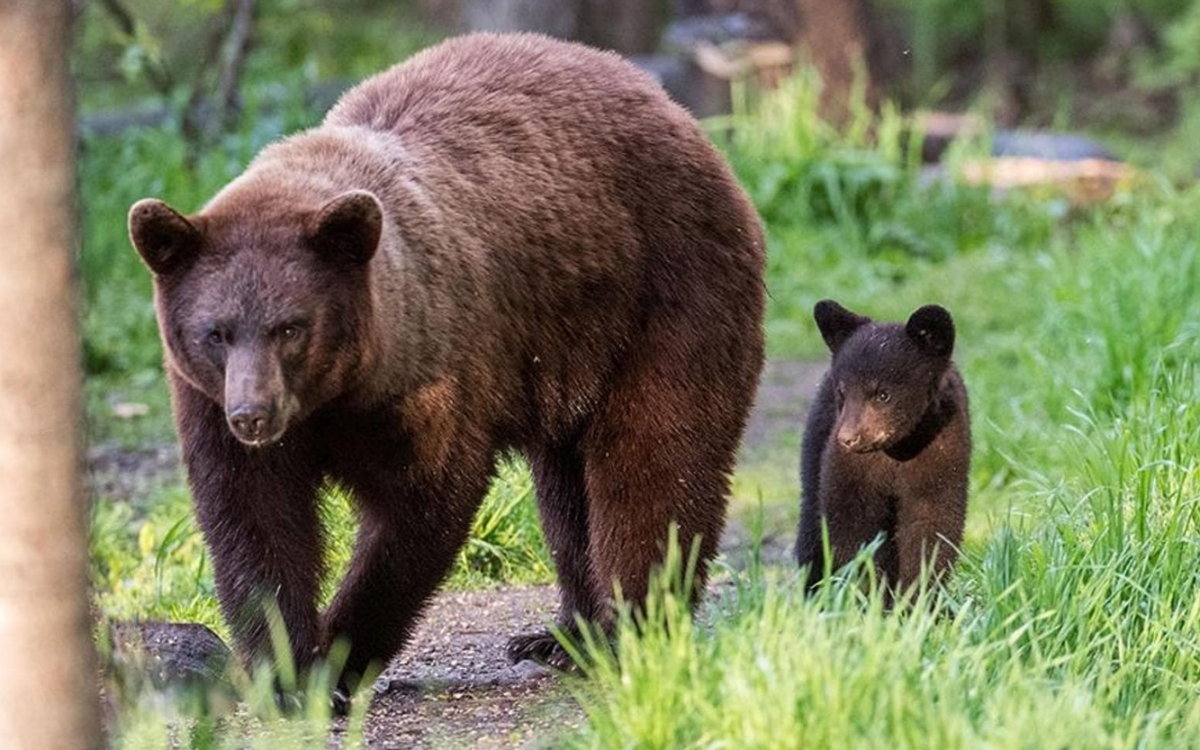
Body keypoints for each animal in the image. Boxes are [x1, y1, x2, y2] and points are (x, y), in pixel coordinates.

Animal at [131, 32, 763, 700]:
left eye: (290, 327)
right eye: (216, 332)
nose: (253, 414)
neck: (336, 396)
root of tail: (680, 114)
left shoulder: (427, 373)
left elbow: (420, 507)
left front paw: (341, 655)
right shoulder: (211, 405)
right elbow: (254, 520)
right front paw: (287, 670)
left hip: (663, 297)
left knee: (652, 462)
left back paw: (632, 632)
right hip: (571, 357)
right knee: (567, 494)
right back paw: (564, 636)